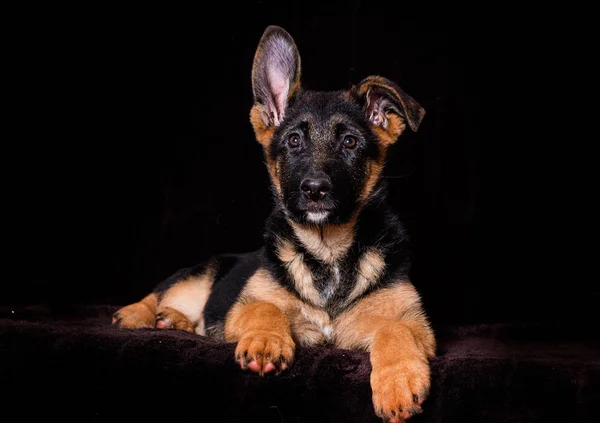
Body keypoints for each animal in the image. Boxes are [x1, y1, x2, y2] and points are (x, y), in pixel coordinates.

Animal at [112, 24, 436, 422]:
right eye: (294, 140)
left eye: (350, 142)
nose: (315, 189)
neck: (327, 251)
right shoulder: (244, 305)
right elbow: (265, 306)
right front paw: (267, 340)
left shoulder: (415, 323)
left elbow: (394, 329)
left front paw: (398, 380)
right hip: (199, 274)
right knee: (161, 291)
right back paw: (140, 313)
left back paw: (174, 321)